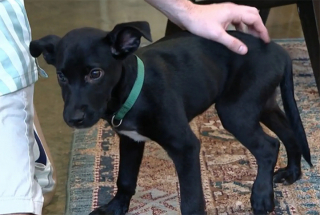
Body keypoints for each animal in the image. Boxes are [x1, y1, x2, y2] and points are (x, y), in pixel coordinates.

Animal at [30, 21, 312, 214]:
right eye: (61, 76)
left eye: (95, 73)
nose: (73, 119)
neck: (133, 90)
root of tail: (279, 51)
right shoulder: (130, 141)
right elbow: (125, 179)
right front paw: (116, 207)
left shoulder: (185, 147)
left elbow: (191, 200)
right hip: (259, 104)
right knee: (288, 132)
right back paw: (292, 172)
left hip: (235, 110)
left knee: (268, 146)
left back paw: (262, 196)